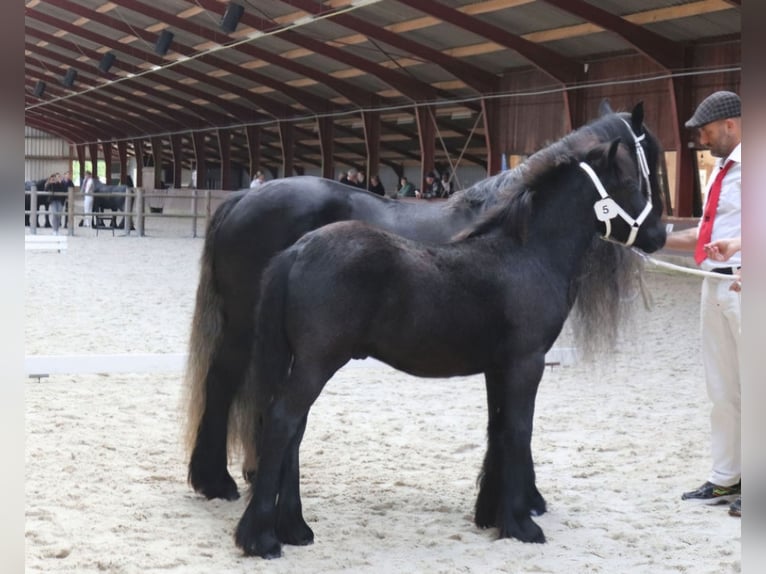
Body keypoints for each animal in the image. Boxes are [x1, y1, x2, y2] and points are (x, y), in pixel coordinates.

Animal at [232, 104, 664, 560]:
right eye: (634, 180)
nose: (659, 235)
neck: (527, 254)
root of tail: (297, 250)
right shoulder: (527, 363)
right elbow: (519, 430)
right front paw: (522, 524)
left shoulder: (499, 367)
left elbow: (499, 429)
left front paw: (494, 515)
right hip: (316, 364)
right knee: (282, 422)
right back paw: (261, 537)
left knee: (293, 430)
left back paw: (294, 528)